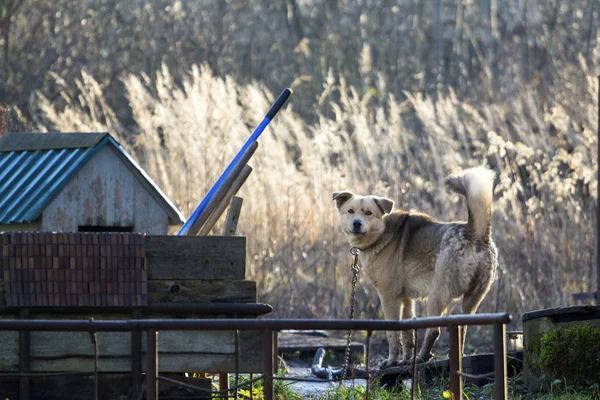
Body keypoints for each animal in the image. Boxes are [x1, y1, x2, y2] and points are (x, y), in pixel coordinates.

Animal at [332, 167, 496, 368]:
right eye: (350, 211)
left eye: (368, 213)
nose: (357, 223)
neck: (382, 234)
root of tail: (475, 233)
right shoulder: (407, 299)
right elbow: (408, 333)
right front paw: (404, 360)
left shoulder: (389, 296)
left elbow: (393, 333)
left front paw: (392, 361)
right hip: (473, 299)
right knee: (462, 329)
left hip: (437, 295)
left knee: (434, 330)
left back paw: (422, 357)